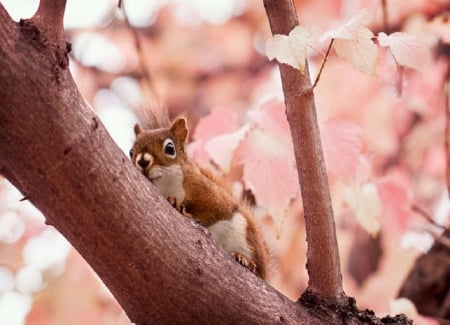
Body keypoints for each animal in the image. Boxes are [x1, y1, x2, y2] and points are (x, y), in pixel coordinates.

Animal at [130, 116, 270, 278]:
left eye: (170, 148)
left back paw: (245, 260)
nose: (142, 161)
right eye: (131, 151)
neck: (167, 185)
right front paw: (173, 201)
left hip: (245, 235)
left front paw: (185, 211)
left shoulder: (208, 193)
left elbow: (213, 211)